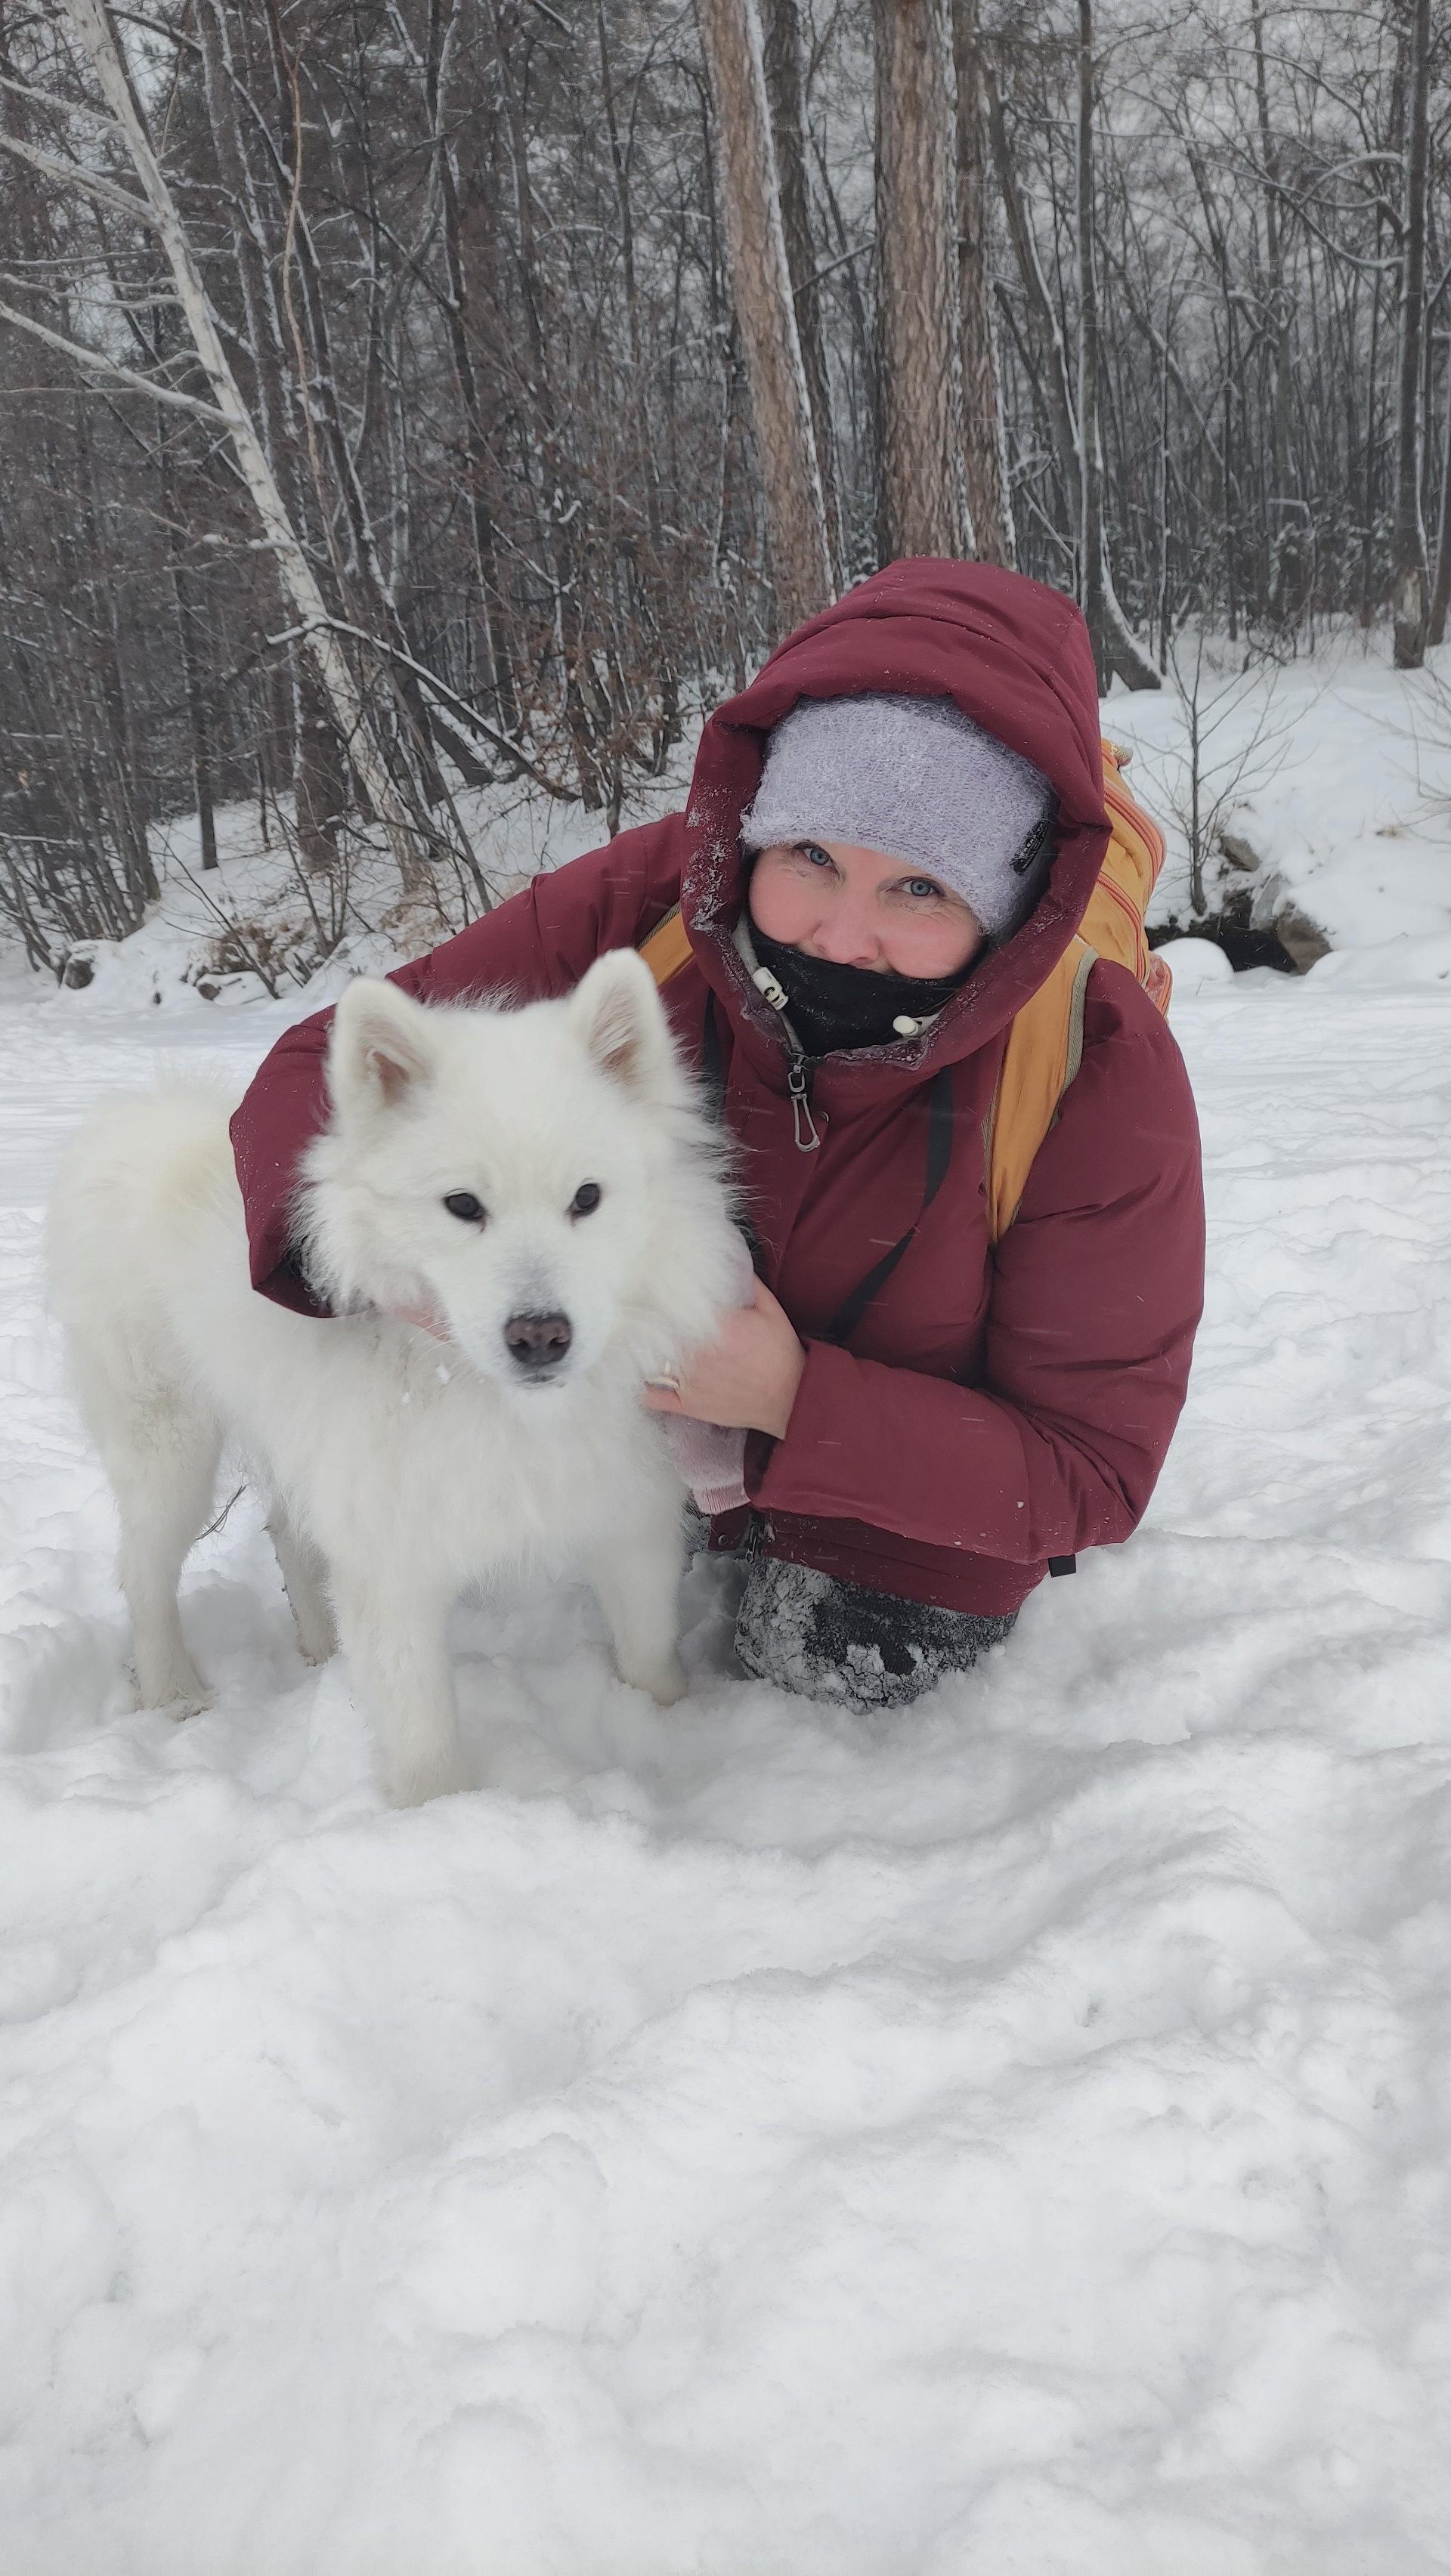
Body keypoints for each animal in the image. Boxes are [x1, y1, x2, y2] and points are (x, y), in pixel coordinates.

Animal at [51, 958, 742, 1803]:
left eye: (587, 1198)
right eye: (463, 1205)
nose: (540, 1336)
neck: (495, 1400)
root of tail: (139, 1127)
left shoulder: (628, 1521)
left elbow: (648, 1656)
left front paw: (669, 1727)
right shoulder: (393, 1567)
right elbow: (424, 1739)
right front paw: (442, 1815)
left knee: (288, 1534)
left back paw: (319, 1647)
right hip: (168, 1450)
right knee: (144, 1573)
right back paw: (174, 1691)